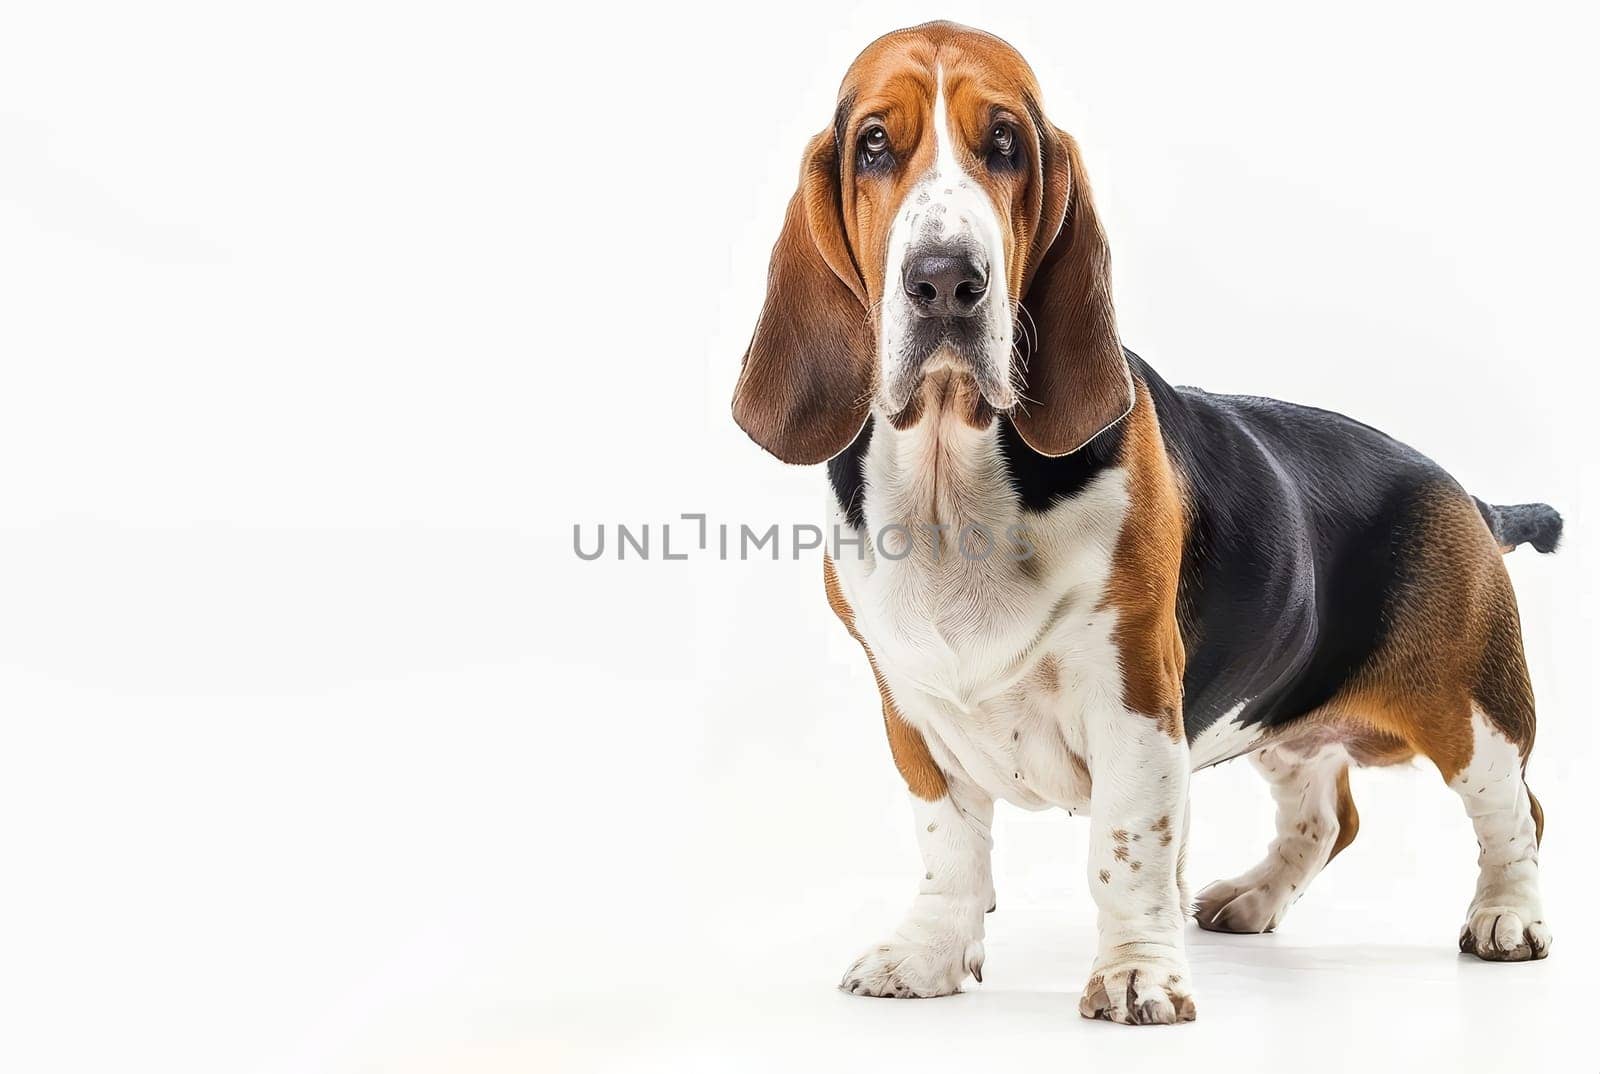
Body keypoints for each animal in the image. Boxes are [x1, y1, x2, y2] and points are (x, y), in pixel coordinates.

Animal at [732, 18, 1555, 1024]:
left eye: (1004, 143)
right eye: (875, 146)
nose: (945, 281)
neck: (948, 478)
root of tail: (1465, 493)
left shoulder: (1135, 700)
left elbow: (1125, 852)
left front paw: (1135, 976)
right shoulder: (912, 710)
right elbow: (949, 848)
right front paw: (928, 956)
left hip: (1470, 707)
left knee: (1513, 812)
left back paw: (1508, 918)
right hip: (1272, 710)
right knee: (1328, 816)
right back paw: (1253, 898)